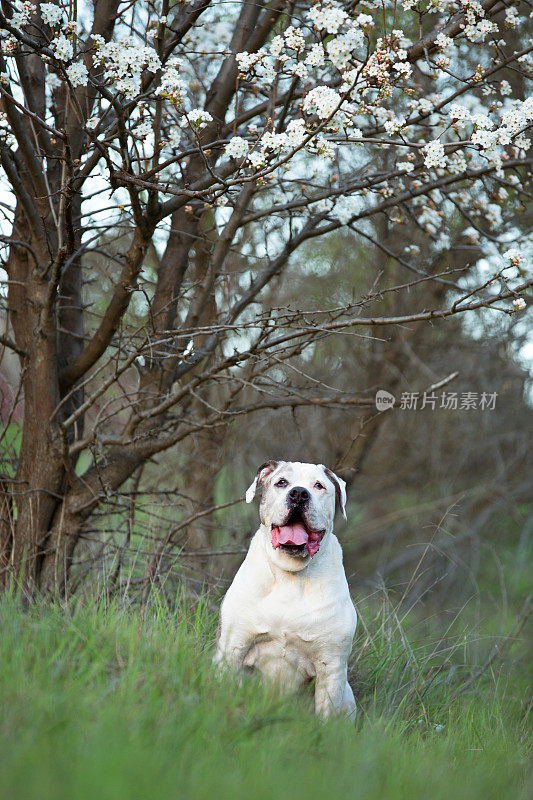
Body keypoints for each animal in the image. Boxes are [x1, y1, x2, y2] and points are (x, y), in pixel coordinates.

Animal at [213, 460, 358, 716]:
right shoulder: (233, 647)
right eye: (282, 482)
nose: (299, 493)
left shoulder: (331, 666)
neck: (290, 575)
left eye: (319, 486)